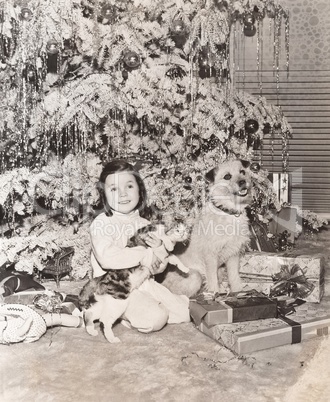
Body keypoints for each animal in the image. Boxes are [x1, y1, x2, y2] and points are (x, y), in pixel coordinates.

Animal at [160, 160, 253, 298]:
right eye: (227, 176)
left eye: (242, 171)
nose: (242, 182)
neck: (228, 212)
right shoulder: (211, 256)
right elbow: (212, 280)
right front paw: (215, 294)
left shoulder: (233, 255)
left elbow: (234, 277)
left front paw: (239, 292)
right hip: (195, 276)